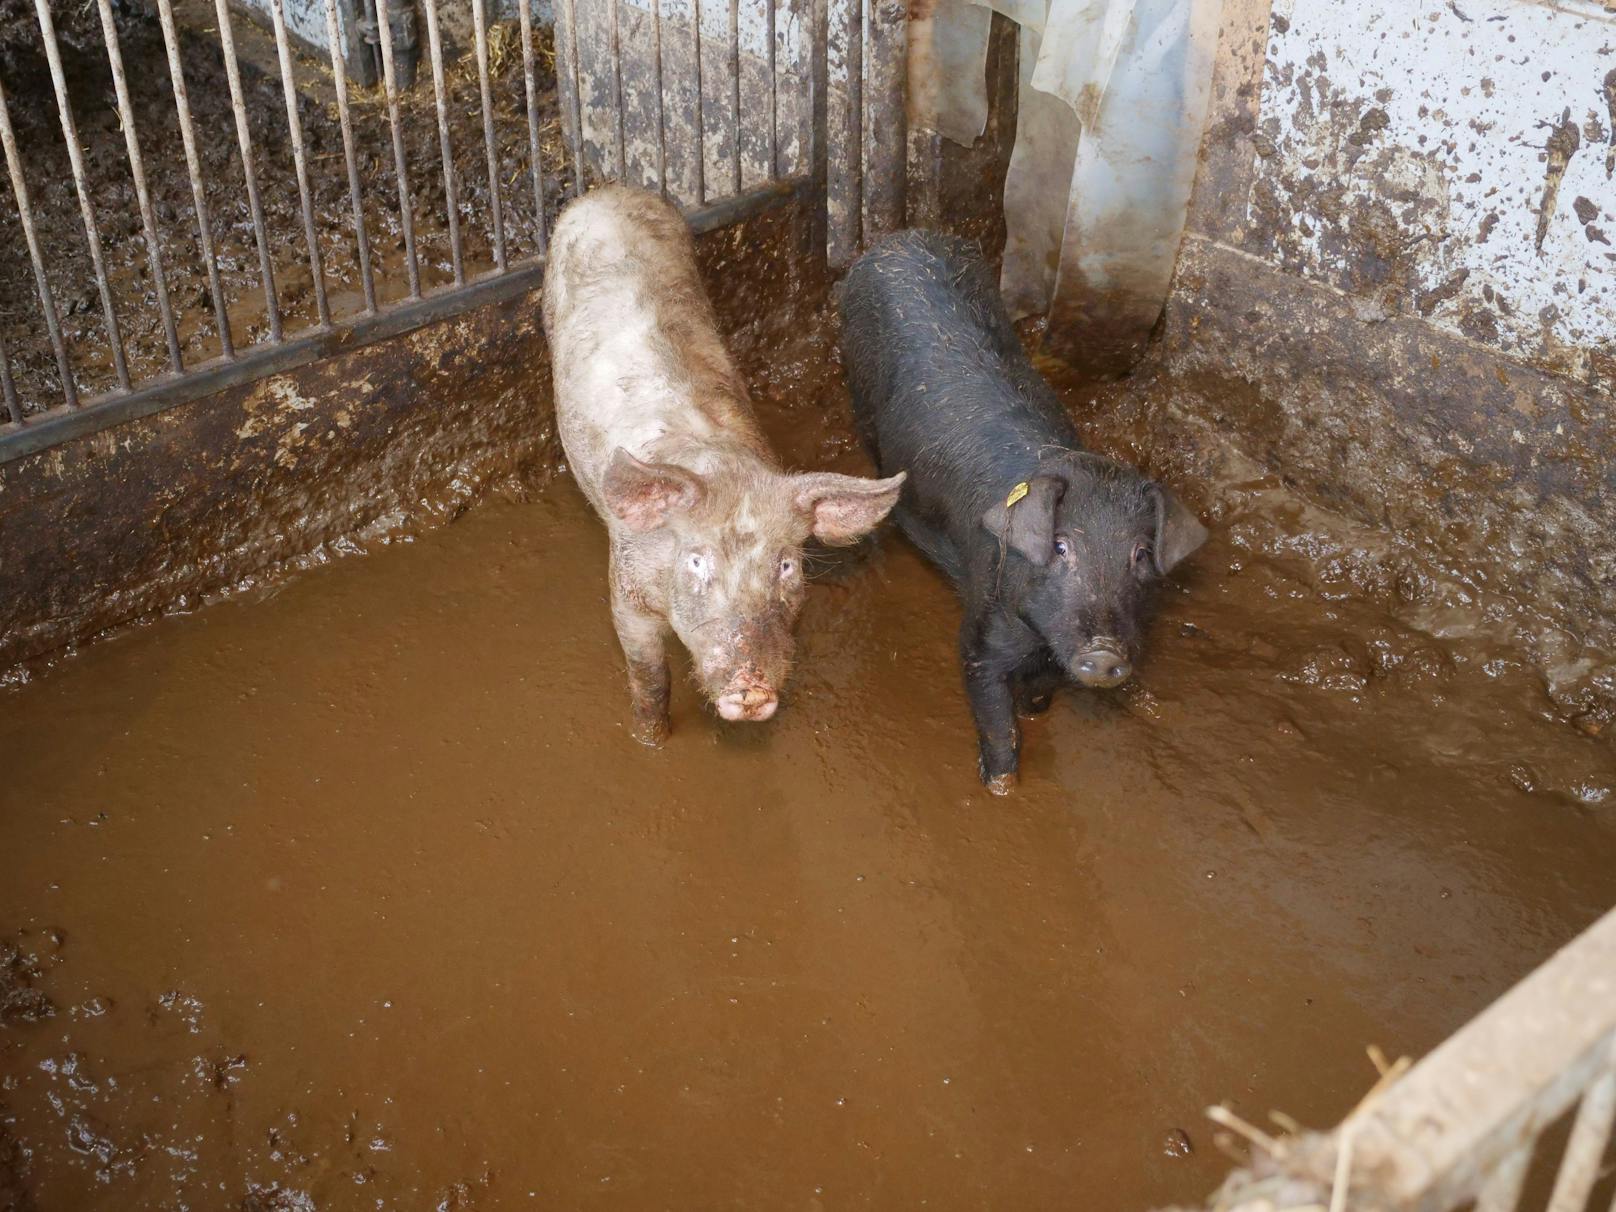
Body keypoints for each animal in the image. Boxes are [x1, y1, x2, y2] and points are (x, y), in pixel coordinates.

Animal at [840, 231, 1208, 791]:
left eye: (1142, 554)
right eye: (1060, 545)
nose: (1103, 652)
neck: (1037, 639)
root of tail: (898, 239)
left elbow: (1039, 693)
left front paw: (1036, 710)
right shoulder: (979, 634)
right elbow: (995, 720)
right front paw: (1000, 788)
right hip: (858, 390)